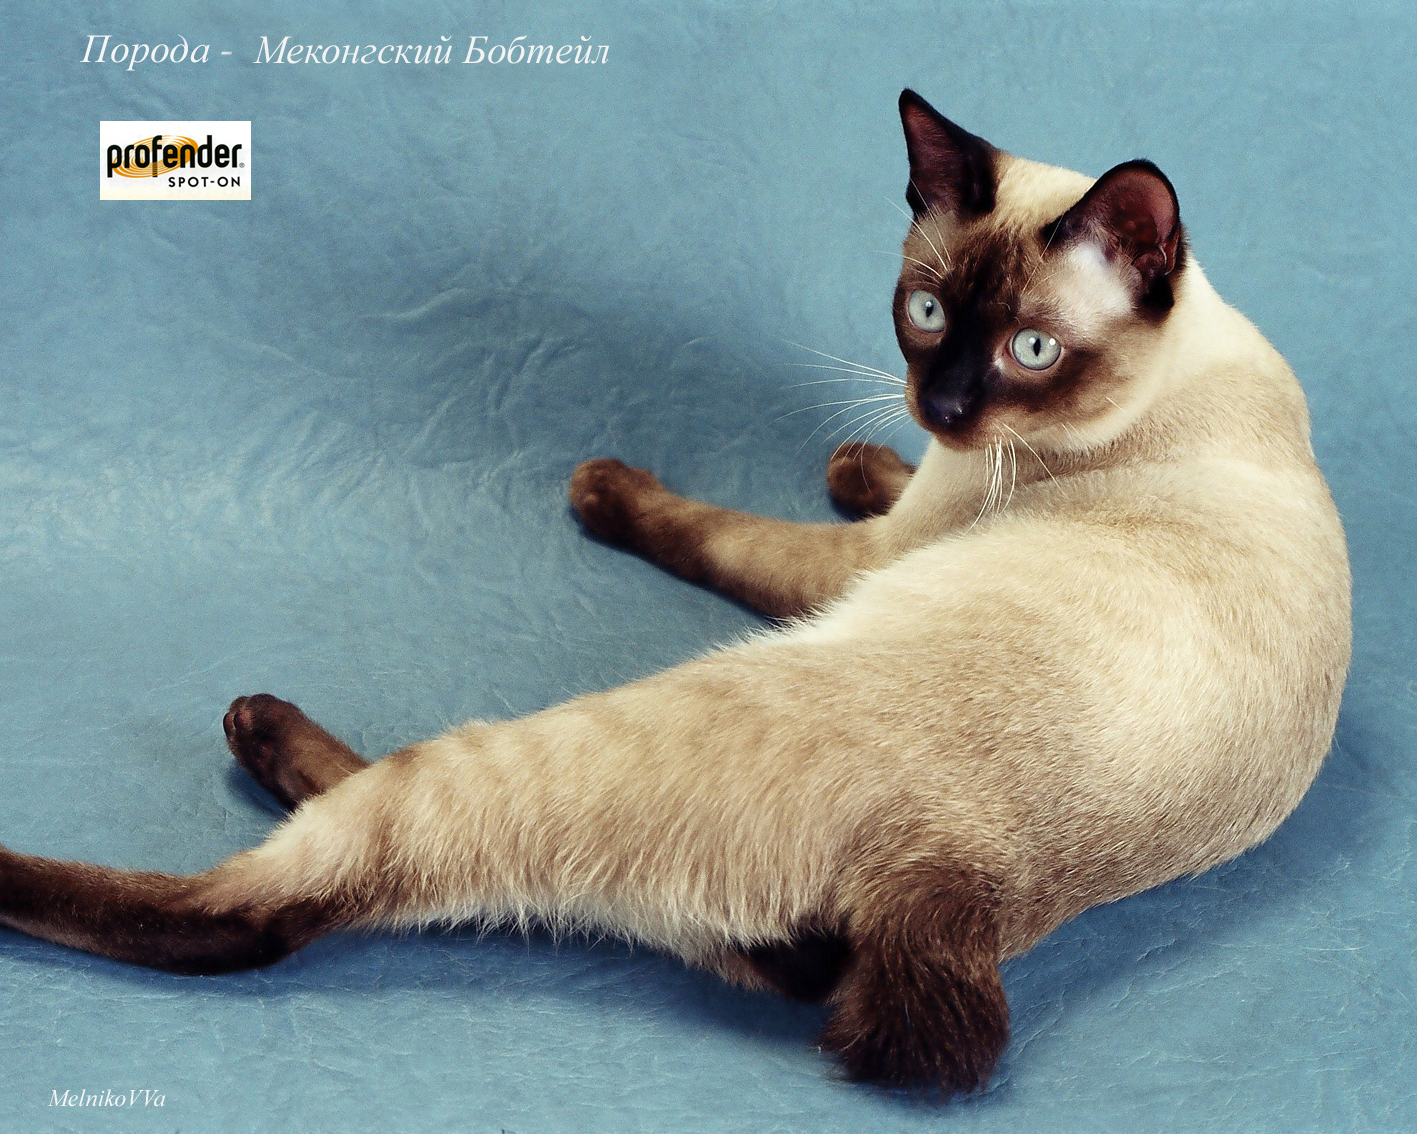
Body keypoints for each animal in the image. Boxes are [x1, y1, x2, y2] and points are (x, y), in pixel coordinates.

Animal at [0, 89, 1351, 1095]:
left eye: (1030, 352)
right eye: (922, 313)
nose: (947, 405)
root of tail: (960, 895)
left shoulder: (873, 557)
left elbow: (717, 533)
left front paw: (603, 490)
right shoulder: (909, 508)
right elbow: (858, 482)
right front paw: (855, 455)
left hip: (596, 737)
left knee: (271, 908)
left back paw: (230, 740)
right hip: (737, 920)